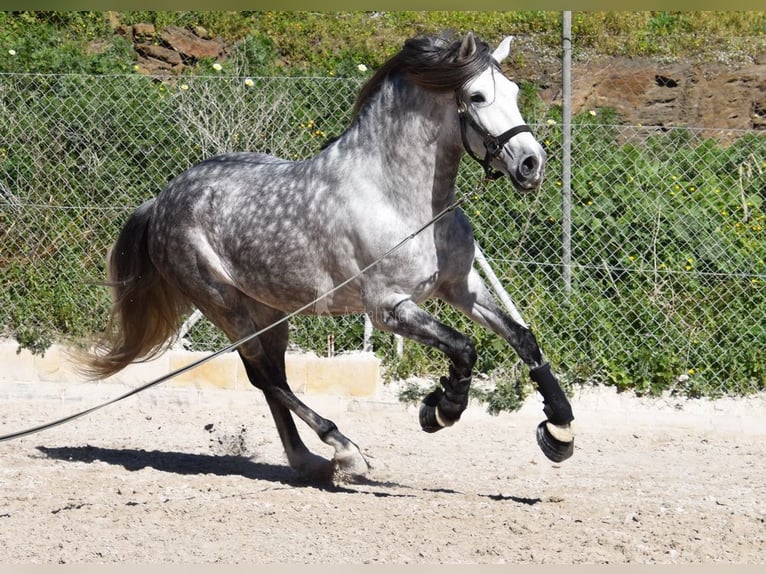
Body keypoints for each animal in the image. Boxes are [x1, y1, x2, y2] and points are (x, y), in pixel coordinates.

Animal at [84, 31, 576, 482]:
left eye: (514, 92)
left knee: (274, 379)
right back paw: (344, 451)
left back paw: (309, 461)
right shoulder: (388, 308)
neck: (401, 199)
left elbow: (522, 337)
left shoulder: (460, 287)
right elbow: (464, 347)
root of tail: (162, 201)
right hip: (224, 305)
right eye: (476, 96)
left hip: (271, 311)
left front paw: (560, 431)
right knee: (266, 378)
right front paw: (441, 410)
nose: (532, 165)